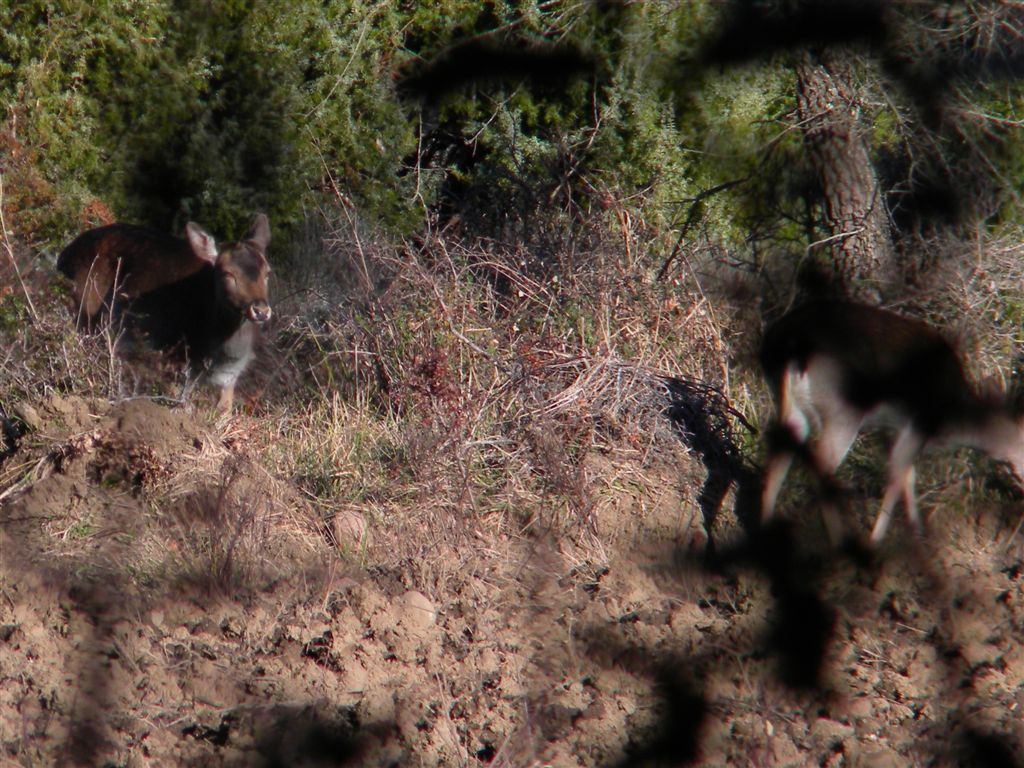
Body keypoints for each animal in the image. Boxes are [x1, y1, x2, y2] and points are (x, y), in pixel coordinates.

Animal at [57, 214, 272, 411]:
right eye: (228, 273)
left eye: (267, 272)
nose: (261, 310)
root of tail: (63, 255)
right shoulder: (170, 358)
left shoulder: (231, 375)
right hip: (84, 308)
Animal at [757, 301, 1024, 548]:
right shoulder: (918, 423)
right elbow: (897, 475)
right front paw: (878, 540)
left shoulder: (893, 428)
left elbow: (908, 476)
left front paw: (917, 535)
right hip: (843, 412)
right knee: (820, 468)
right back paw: (839, 542)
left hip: (791, 407)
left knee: (776, 462)